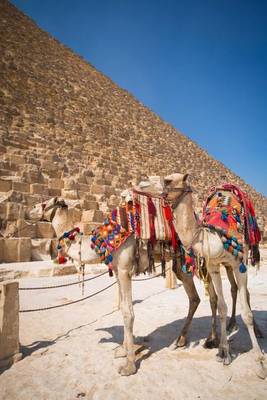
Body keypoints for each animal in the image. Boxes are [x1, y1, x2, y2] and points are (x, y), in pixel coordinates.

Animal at [164, 172, 266, 378]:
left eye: (168, 181)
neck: (214, 236)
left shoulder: (239, 263)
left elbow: (246, 312)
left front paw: (259, 362)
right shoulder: (213, 266)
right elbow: (221, 306)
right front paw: (223, 351)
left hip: (240, 260)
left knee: (245, 293)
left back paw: (257, 331)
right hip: (226, 266)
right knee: (233, 289)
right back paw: (231, 324)